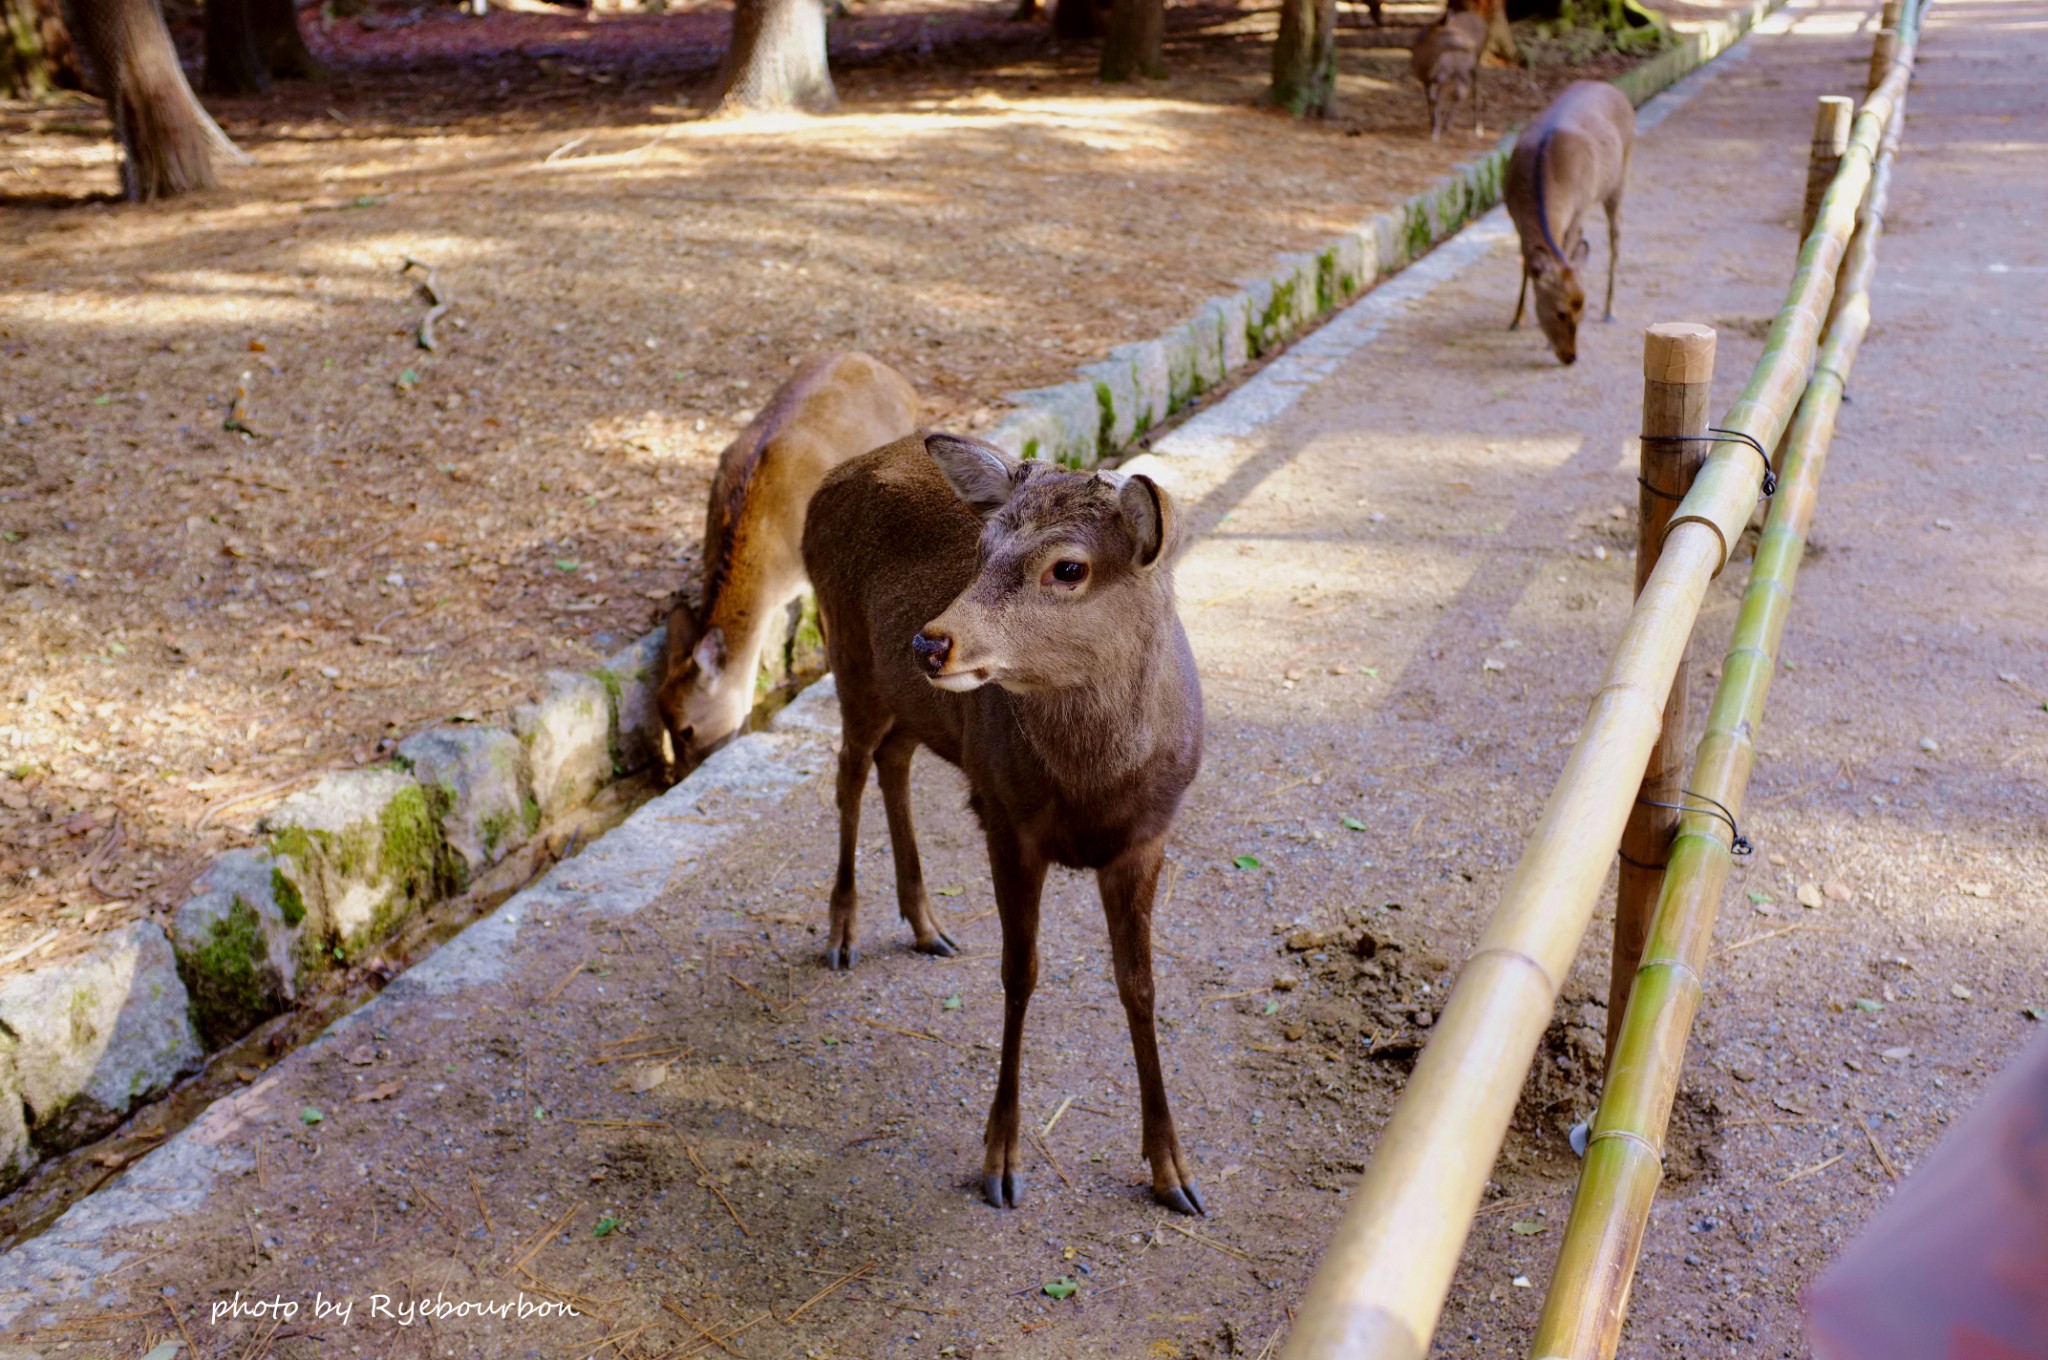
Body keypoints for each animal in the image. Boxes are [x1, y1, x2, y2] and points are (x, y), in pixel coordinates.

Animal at [802, 432, 1212, 1212]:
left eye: (1069, 567)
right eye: (982, 546)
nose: (930, 643)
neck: (1092, 788)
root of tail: (828, 480)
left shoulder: (1149, 838)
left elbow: (1140, 986)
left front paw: (1174, 1171)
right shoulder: (1006, 820)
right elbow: (1019, 974)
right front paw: (1000, 1159)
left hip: (914, 706)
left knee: (893, 759)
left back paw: (925, 923)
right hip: (847, 653)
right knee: (848, 769)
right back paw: (841, 931)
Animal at [1409, 9, 1490, 142]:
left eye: (1459, 28)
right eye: (1452, 31)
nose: (1472, 44)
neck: (1426, 66)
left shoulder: (1443, 75)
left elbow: (1438, 102)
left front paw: (1435, 134)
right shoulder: (1424, 79)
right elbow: (1430, 100)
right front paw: (1432, 124)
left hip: (1476, 63)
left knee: (1476, 89)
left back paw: (1478, 129)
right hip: (1461, 69)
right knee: (1461, 91)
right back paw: (1448, 125)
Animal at [1499, 79, 1638, 364]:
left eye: (1582, 313)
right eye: (1560, 312)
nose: (1571, 357)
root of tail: (1615, 90)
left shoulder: (1578, 208)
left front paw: (1543, 341)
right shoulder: (1514, 217)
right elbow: (1526, 264)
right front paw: (1517, 319)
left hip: (1619, 180)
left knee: (1616, 235)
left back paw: (1610, 311)